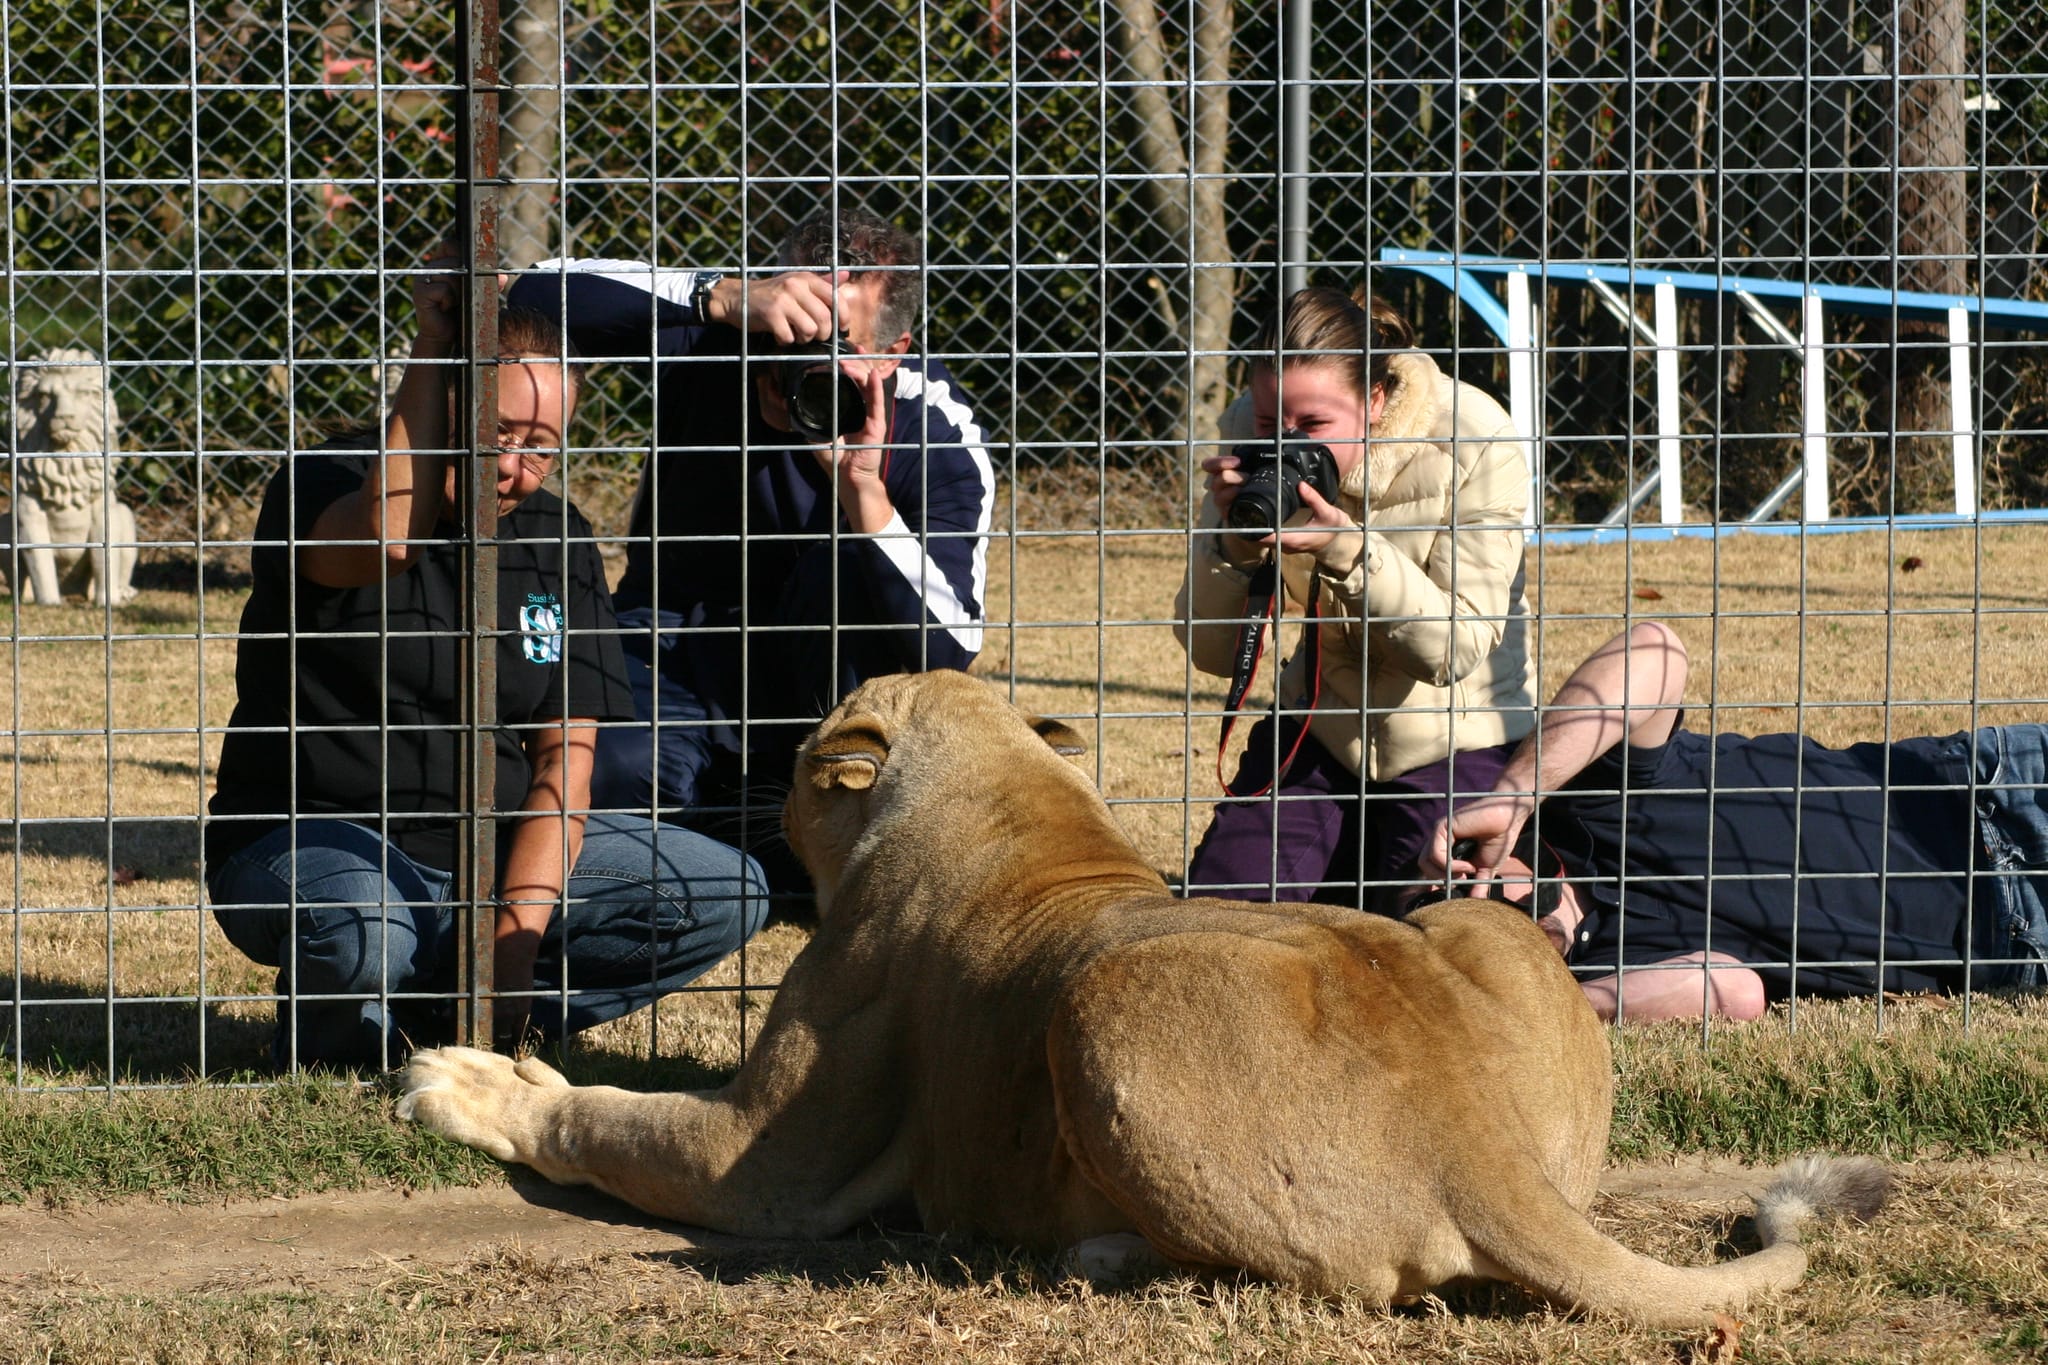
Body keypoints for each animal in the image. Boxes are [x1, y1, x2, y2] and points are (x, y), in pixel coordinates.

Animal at [400, 670, 1887, 1328]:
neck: (1013, 796)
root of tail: (1475, 1138)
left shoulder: (767, 1166)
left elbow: (612, 1120)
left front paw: (464, 1081)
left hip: (1102, 1000)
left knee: (1338, 1281)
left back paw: (1101, 1254)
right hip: (1477, 919)